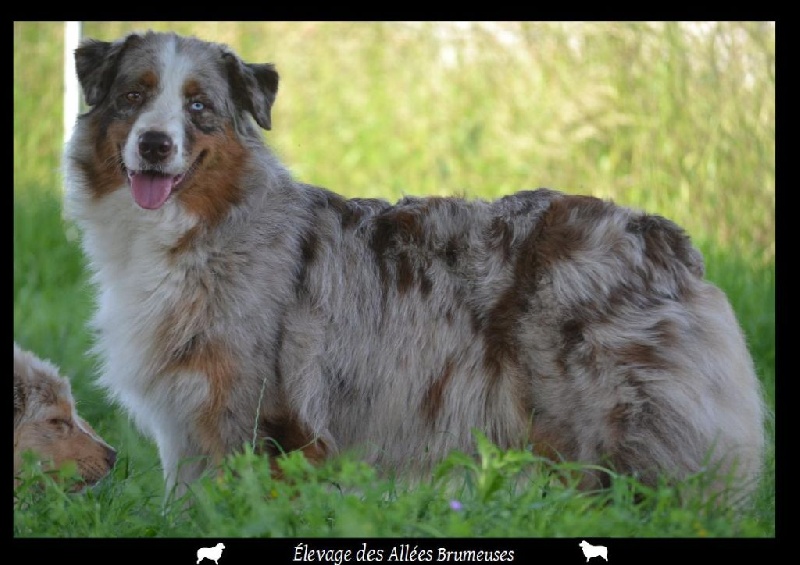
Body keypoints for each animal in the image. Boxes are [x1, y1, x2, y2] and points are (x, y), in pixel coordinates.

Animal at [62, 30, 764, 500]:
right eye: (133, 96)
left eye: (199, 106)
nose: (155, 145)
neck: (198, 229)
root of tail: (665, 237)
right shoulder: (189, 426)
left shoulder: (263, 418)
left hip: (617, 429)